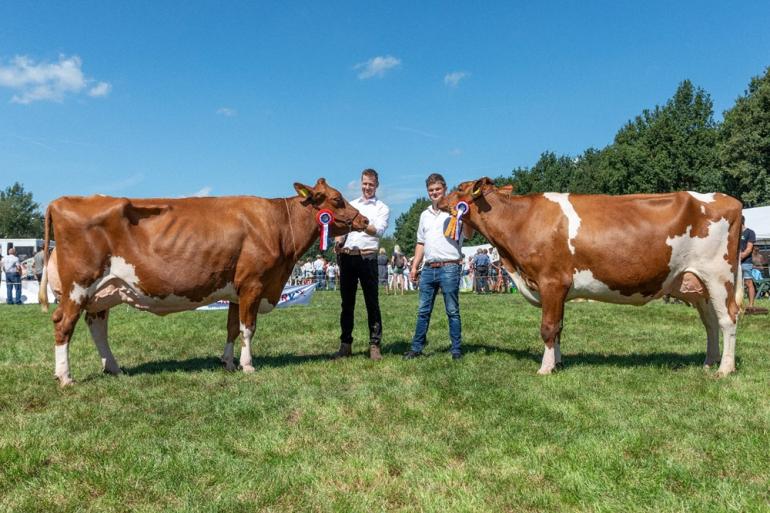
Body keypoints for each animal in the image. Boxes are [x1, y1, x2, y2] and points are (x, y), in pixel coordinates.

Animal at [40, 179, 368, 384]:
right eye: (337, 199)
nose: (364, 220)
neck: (278, 225)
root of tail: (59, 202)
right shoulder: (253, 284)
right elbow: (249, 329)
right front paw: (247, 365)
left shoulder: (236, 290)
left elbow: (232, 328)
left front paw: (228, 362)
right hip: (78, 286)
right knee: (63, 325)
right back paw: (65, 377)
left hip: (104, 291)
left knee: (97, 328)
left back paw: (113, 368)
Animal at [438, 178, 744, 374]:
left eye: (460, 188)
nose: (437, 198)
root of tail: (728, 199)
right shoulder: (557, 289)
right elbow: (559, 327)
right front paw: (558, 363)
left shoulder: (551, 281)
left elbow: (548, 327)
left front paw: (545, 368)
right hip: (695, 283)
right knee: (710, 322)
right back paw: (709, 363)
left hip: (719, 276)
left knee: (728, 319)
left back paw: (725, 369)